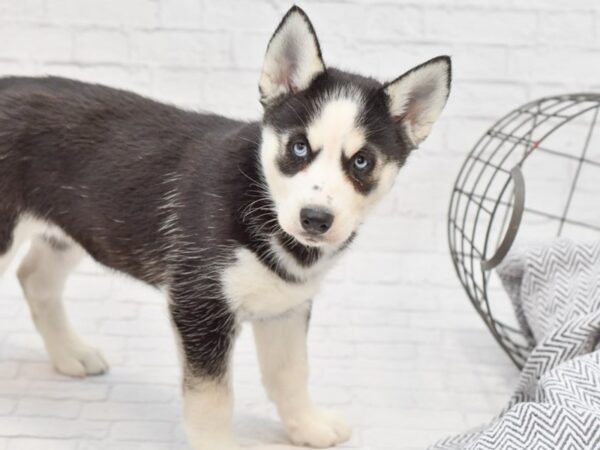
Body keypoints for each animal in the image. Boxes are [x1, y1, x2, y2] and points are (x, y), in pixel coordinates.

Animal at [0, 4, 450, 450]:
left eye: (361, 162)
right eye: (298, 147)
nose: (315, 219)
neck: (261, 197)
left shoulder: (286, 307)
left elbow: (290, 375)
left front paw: (307, 425)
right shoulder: (200, 307)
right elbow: (211, 399)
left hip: (70, 229)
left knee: (35, 279)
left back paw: (70, 353)